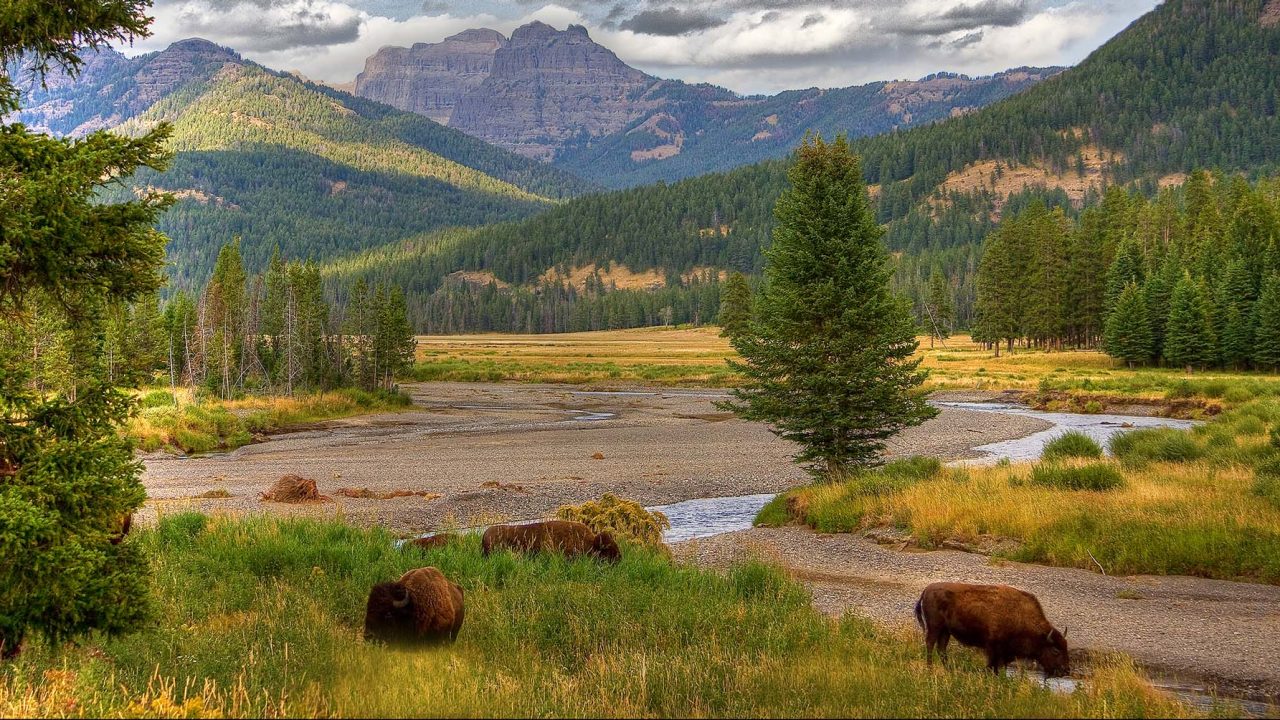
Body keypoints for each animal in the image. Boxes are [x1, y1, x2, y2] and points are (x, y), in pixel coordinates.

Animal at [911, 579, 1070, 676]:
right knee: (930, 645)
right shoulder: (994, 647)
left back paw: (948, 669)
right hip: (935, 627)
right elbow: (993, 665)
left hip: (945, 631)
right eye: (1055, 650)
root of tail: (926, 589)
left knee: (941, 649)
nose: (1065, 671)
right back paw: (930, 668)